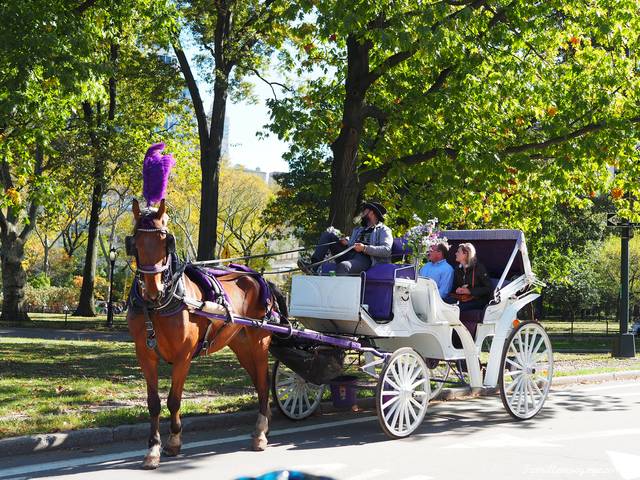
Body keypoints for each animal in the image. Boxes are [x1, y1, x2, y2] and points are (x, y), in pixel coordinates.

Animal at [127, 198, 272, 468]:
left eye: (165, 240)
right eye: (135, 242)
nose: (152, 290)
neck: (160, 304)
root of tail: (254, 274)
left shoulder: (183, 357)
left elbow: (173, 400)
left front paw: (174, 441)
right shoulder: (145, 354)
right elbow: (154, 403)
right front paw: (153, 448)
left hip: (259, 341)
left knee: (264, 382)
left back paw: (259, 432)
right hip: (240, 344)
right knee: (258, 381)